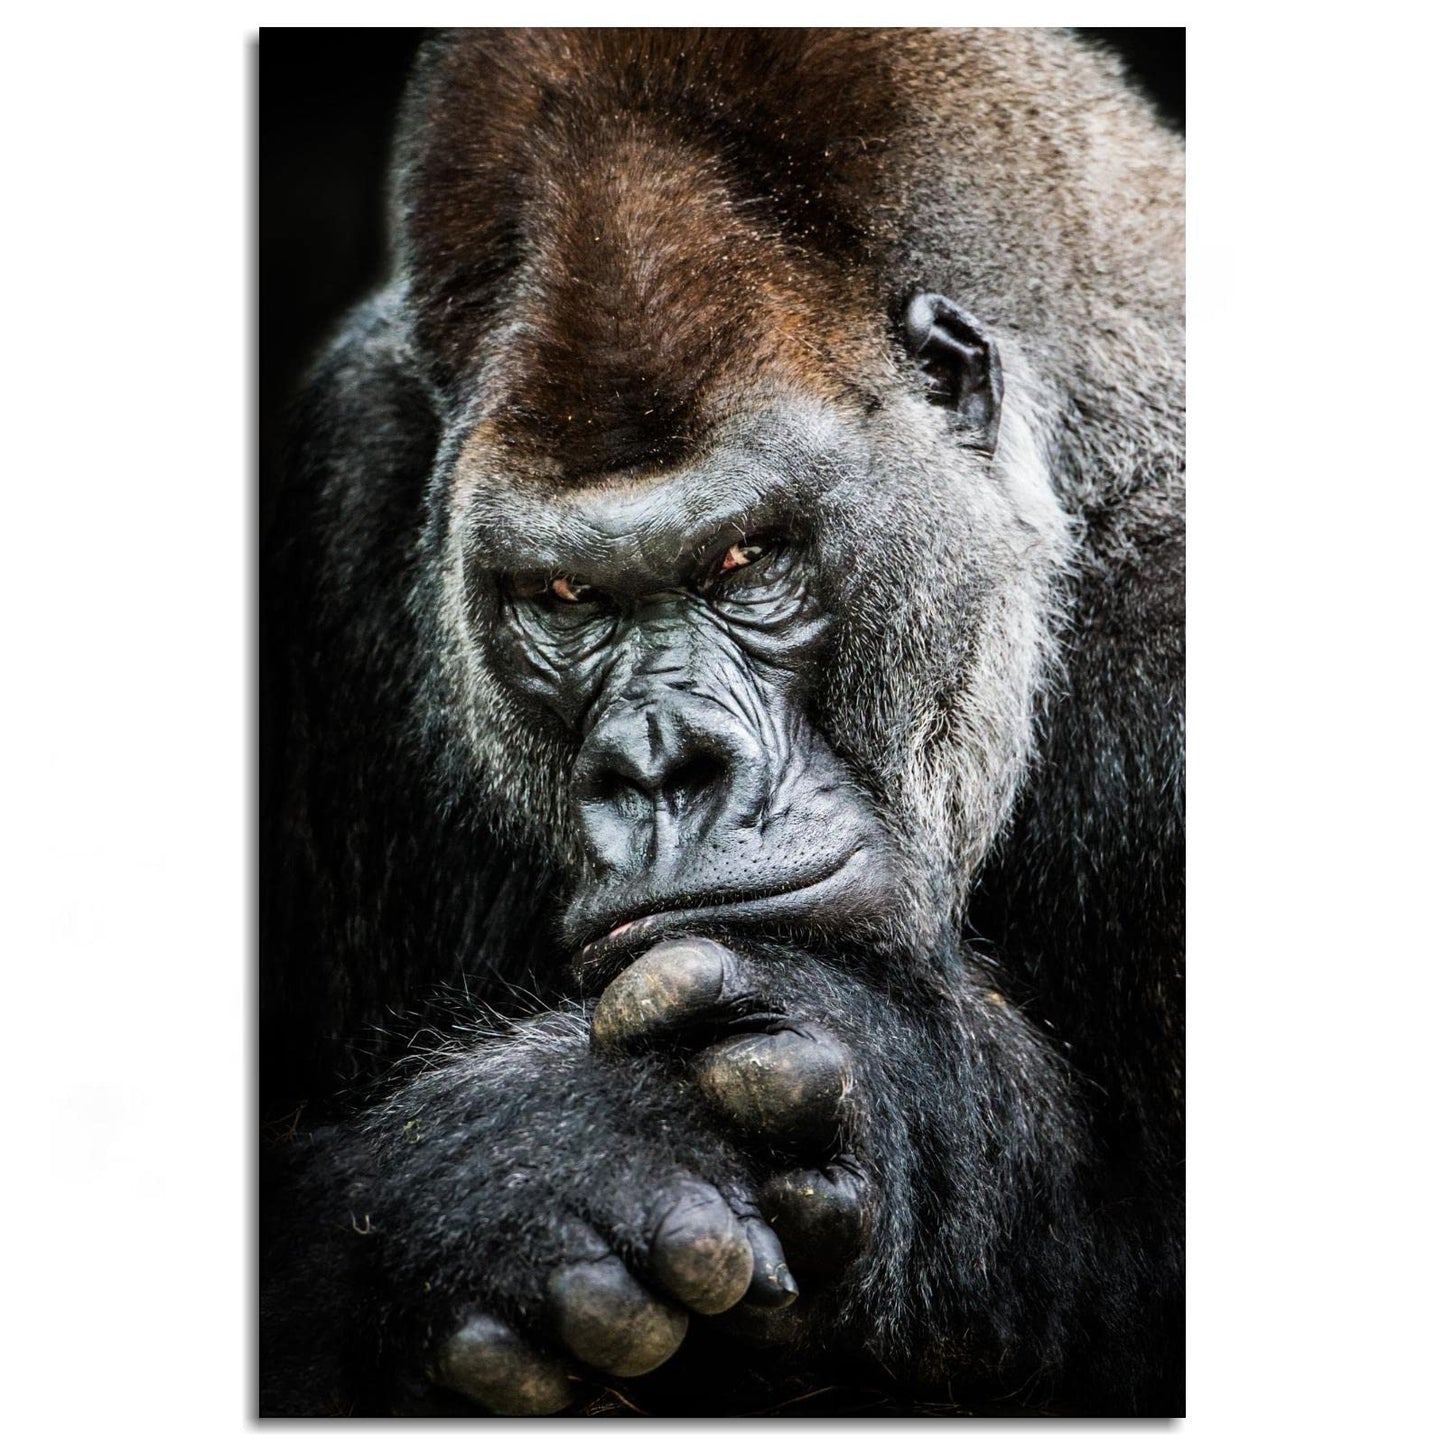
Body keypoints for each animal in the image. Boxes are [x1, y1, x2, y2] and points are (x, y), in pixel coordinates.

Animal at [261, 28, 1183, 1417]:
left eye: (747, 558)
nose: (660, 765)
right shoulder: (350, 476)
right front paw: (514, 1174)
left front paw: (895, 1092)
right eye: (562, 597)